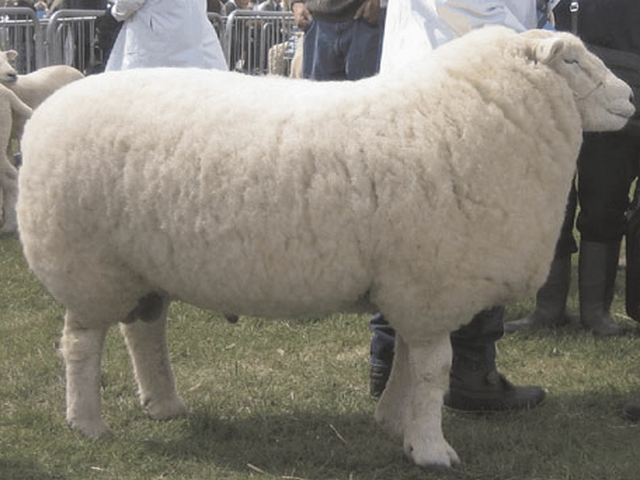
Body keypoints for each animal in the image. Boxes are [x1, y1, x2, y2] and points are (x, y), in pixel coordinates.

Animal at [17, 26, 634, 468]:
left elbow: (408, 363)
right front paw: (432, 449)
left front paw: (395, 422)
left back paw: (164, 405)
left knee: (145, 330)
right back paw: (87, 423)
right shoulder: (431, 283)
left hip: (141, 265)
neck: (474, 113)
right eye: (571, 62)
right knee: (81, 345)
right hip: (87, 264)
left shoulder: (408, 285)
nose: (630, 98)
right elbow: (433, 371)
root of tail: (49, 109)